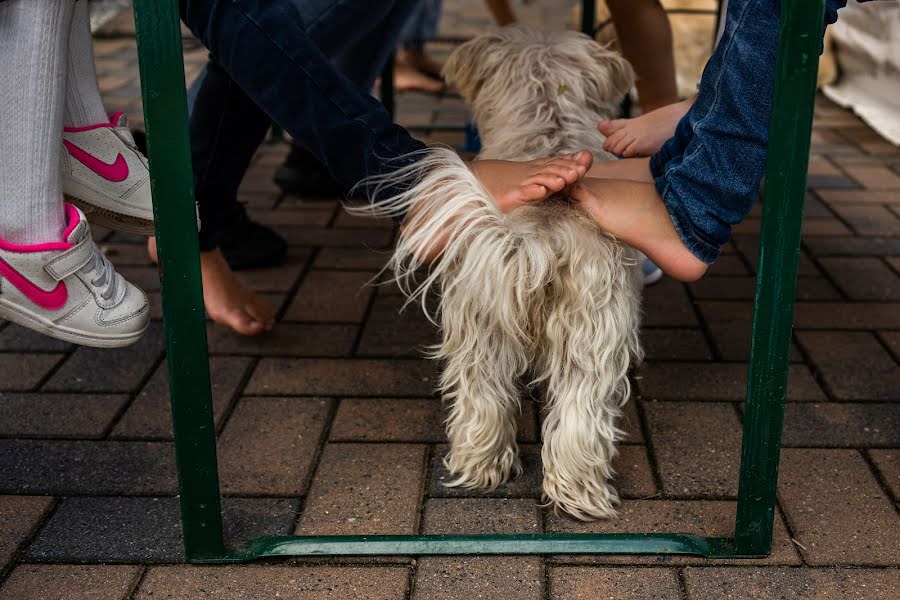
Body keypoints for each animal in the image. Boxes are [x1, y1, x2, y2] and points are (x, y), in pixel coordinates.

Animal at [356, 25, 644, 516]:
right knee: (574, 412)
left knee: (488, 400)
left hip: (488, 323)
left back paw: (489, 470)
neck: (549, 115)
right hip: (582, 331)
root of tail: (543, 232)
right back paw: (573, 490)